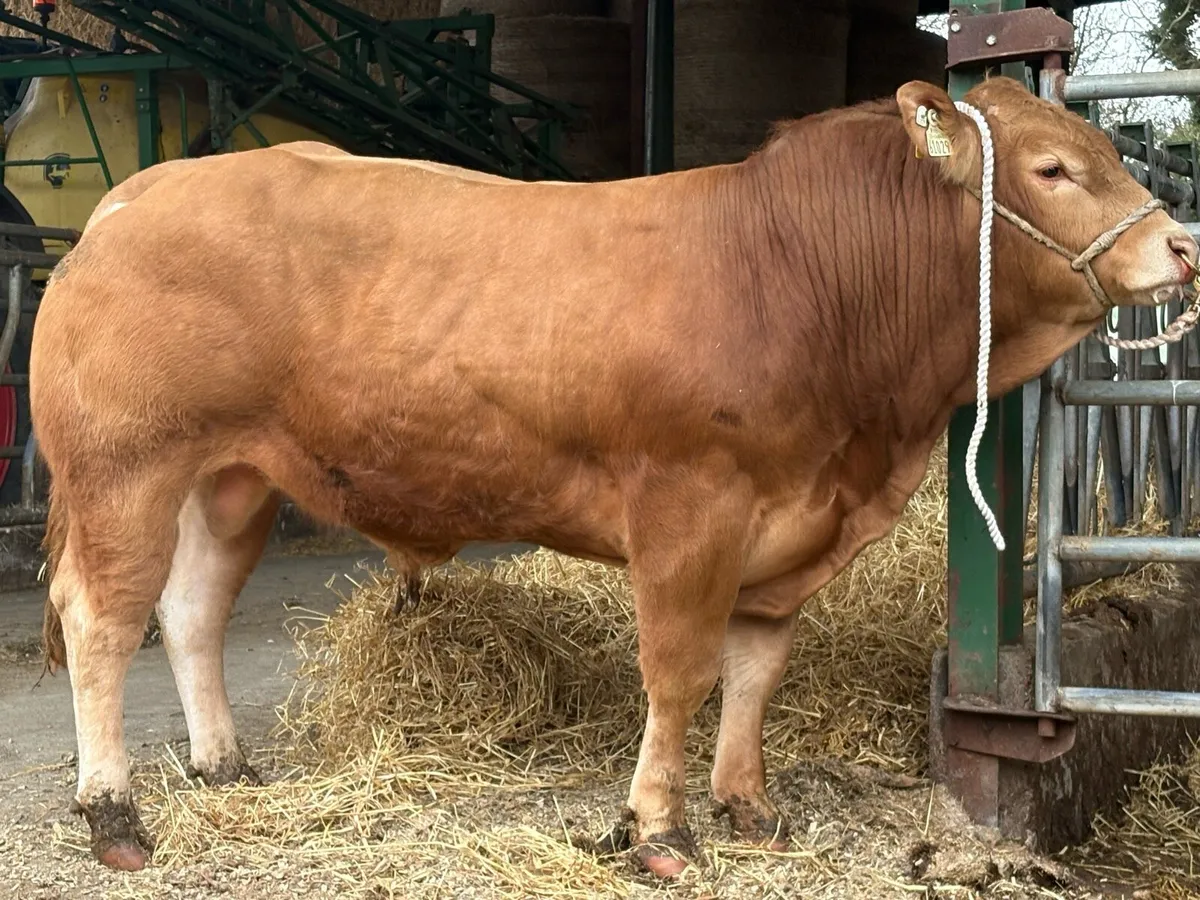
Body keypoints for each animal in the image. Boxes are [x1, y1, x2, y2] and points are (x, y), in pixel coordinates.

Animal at [31, 75, 1197, 878]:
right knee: (102, 620)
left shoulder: (791, 524)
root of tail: (138, 195)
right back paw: (114, 815)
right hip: (124, 467)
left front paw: (749, 809)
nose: (1181, 246)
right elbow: (679, 673)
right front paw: (656, 829)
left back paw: (224, 765)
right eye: (1051, 169)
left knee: (190, 611)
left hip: (231, 478)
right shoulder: (691, 505)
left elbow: (756, 674)